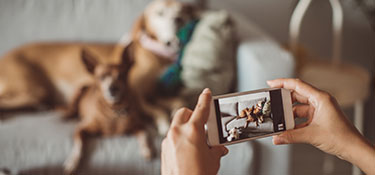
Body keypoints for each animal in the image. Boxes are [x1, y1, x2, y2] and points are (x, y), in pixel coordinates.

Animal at [64, 43, 153, 174]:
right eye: (101, 77)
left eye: (121, 76)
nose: (112, 88)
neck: (114, 110)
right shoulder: (80, 129)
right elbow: (78, 146)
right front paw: (72, 162)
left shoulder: (139, 126)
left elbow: (144, 136)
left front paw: (147, 150)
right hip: (79, 90)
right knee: (71, 110)